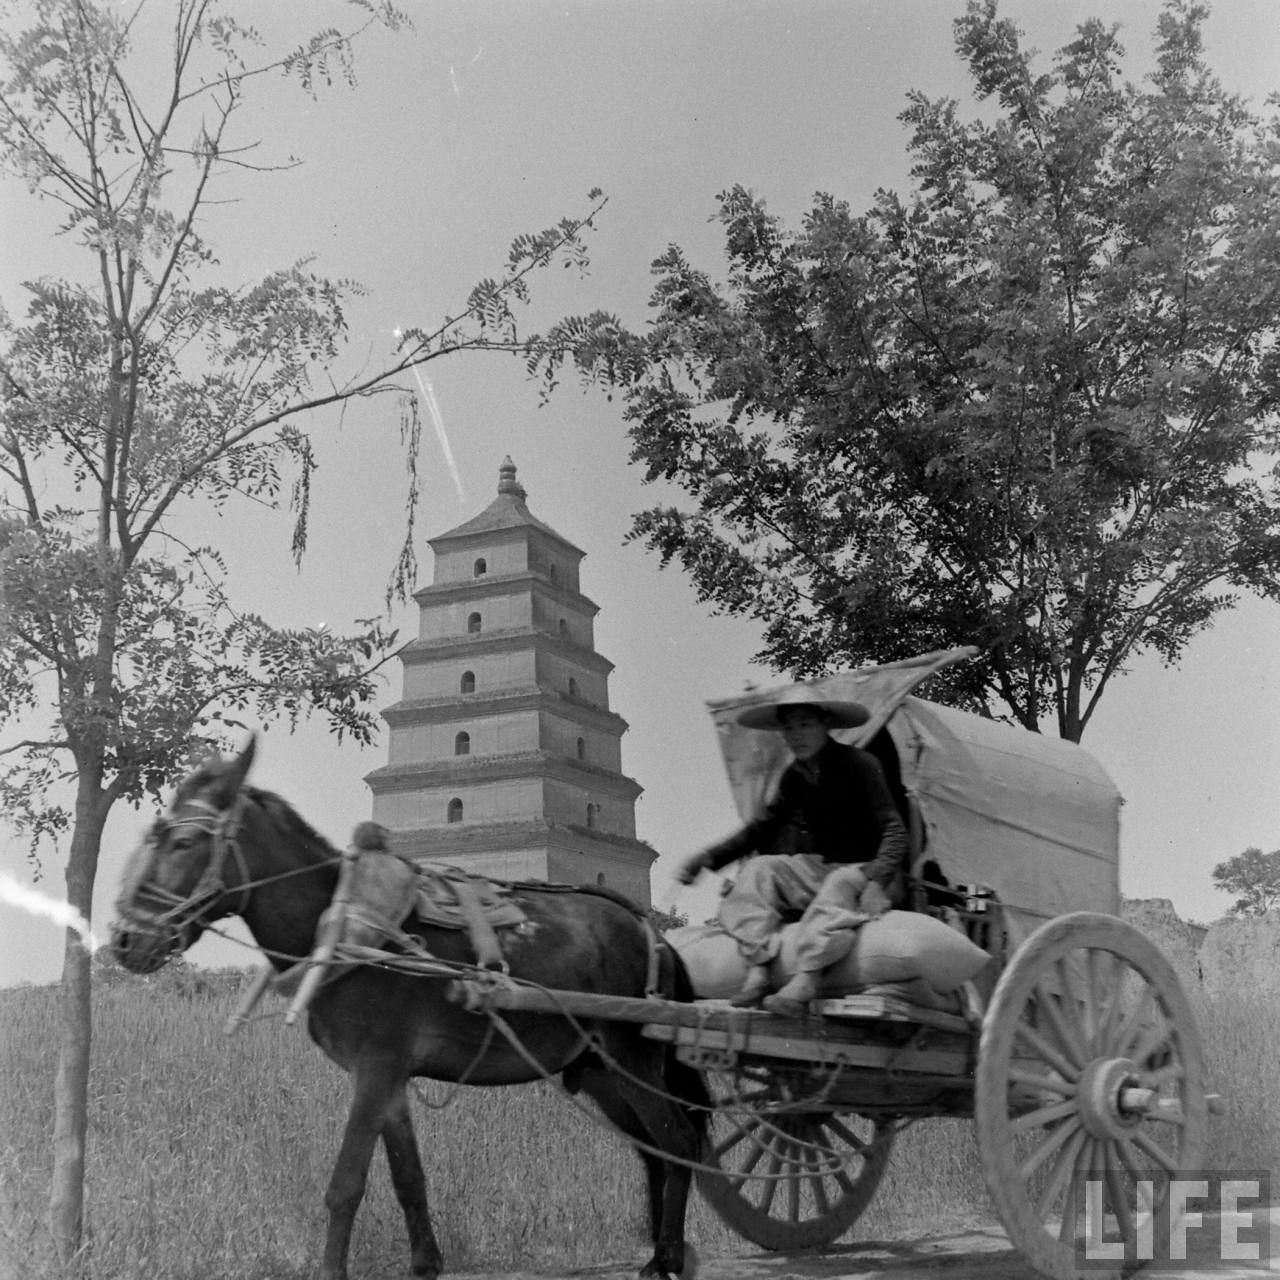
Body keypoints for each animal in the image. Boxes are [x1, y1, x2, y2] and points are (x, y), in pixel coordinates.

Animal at [110, 742, 711, 1280]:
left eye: (184, 842)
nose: (125, 941)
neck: (341, 926)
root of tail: (653, 934)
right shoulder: (390, 1077)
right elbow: (408, 1179)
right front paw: (426, 1264)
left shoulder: (376, 1067)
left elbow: (347, 1183)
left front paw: (333, 1270)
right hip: (601, 1072)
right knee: (655, 1152)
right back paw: (659, 1255)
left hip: (632, 1056)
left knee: (678, 1142)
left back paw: (668, 1259)